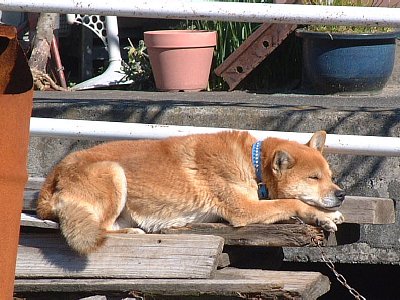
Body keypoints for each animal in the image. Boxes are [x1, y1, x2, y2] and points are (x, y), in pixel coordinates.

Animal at [36, 130, 344, 254]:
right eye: (314, 178)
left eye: (331, 177)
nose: (341, 194)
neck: (252, 162)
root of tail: (52, 175)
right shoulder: (244, 210)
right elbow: (291, 203)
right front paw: (321, 215)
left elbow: (287, 202)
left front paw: (330, 213)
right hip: (114, 173)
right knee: (101, 228)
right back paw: (134, 233)